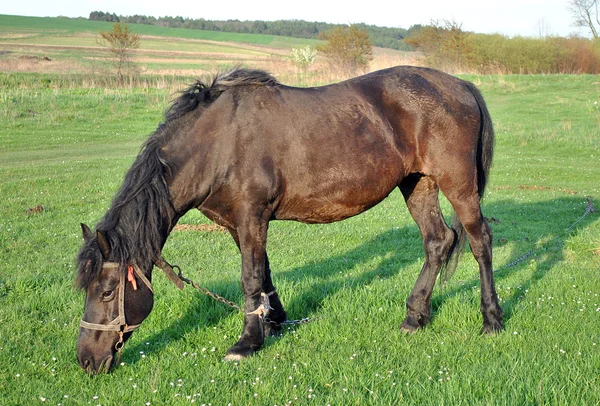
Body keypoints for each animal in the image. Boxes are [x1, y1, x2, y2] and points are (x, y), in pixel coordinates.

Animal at [77, 66, 504, 374]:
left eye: (107, 292)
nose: (86, 360)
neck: (217, 142)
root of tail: (461, 85)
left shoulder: (252, 218)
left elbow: (250, 278)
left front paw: (247, 342)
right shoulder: (240, 224)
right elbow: (262, 274)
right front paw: (274, 321)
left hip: (458, 185)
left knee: (479, 240)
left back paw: (492, 320)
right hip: (418, 184)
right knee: (437, 241)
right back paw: (415, 317)